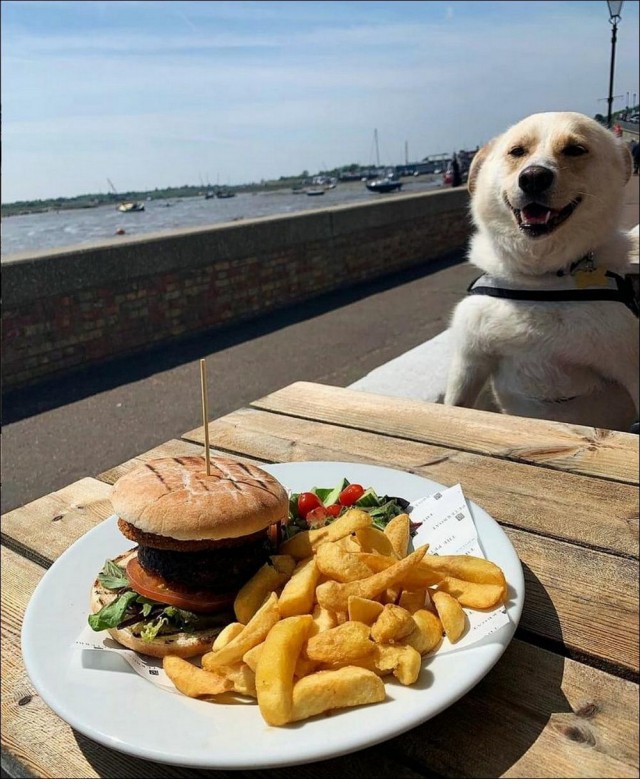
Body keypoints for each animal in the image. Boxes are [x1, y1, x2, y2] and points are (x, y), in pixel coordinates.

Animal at [448, 113, 636, 432]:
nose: (533, 177)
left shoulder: (630, 364)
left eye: (575, 149)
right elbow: (454, 405)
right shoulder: (469, 361)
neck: (539, 281)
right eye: (516, 151)